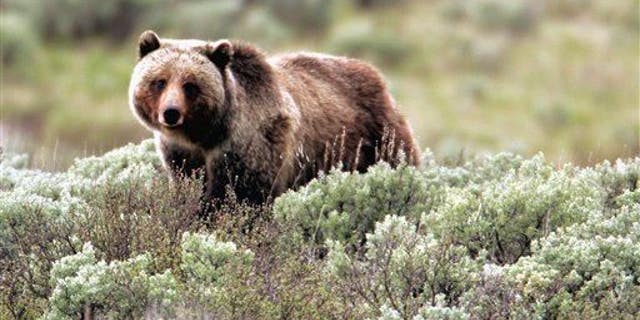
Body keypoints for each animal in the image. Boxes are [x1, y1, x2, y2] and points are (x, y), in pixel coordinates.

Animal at [128, 30, 422, 205]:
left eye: (190, 85)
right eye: (160, 81)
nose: (171, 113)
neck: (206, 134)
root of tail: (375, 74)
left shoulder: (252, 143)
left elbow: (244, 194)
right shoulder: (181, 154)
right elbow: (190, 185)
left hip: (375, 136)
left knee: (397, 158)